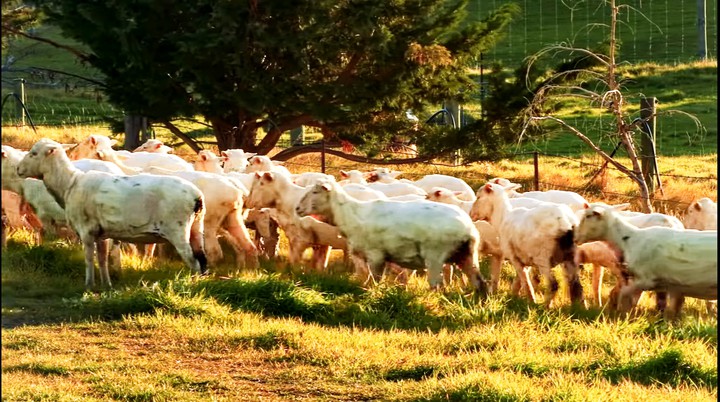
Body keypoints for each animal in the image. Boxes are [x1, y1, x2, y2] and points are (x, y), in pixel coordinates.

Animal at [16, 138, 208, 289]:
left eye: (33, 153)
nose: (18, 169)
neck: (70, 183)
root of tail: (196, 197)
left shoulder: (86, 230)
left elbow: (89, 258)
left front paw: (89, 285)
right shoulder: (102, 233)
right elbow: (102, 259)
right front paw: (106, 285)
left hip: (178, 230)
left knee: (193, 261)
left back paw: (191, 285)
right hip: (197, 227)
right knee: (202, 260)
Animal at [294, 179, 489, 293]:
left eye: (315, 192)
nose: (297, 209)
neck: (351, 214)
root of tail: (467, 228)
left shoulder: (376, 256)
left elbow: (374, 281)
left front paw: (373, 294)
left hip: (435, 256)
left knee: (437, 286)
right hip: (467, 255)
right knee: (480, 283)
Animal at [575, 205, 717, 317]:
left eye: (587, 216)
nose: (575, 236)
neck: (630, 239)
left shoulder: (645, 279)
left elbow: (624, 296)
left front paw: (619, 315)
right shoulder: (673, 287)